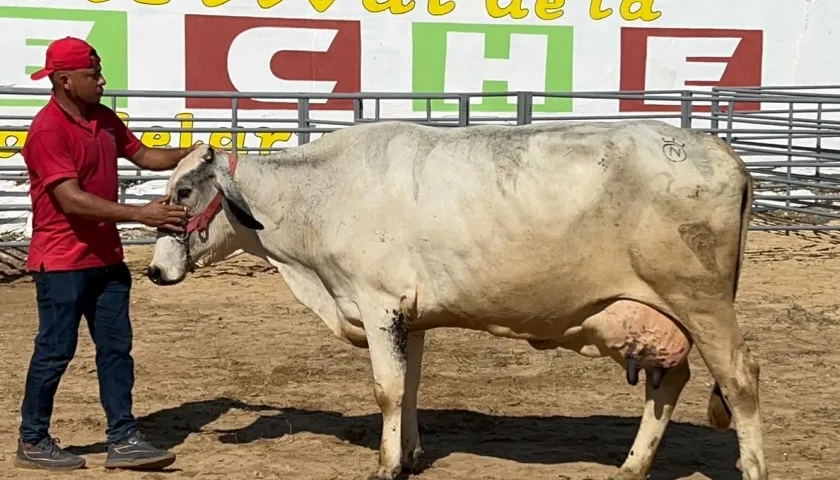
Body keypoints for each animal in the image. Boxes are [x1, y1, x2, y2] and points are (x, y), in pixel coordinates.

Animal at [146, 119, 766, 480]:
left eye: (183, 190)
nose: (154, 269)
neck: (318, 196)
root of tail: (722, 152)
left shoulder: (378, 303)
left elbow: (387, 388)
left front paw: (387, 465)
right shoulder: (410, 316)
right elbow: (411, 387)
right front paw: (411, 454)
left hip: (703, 303)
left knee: (740, 381)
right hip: (664, 314)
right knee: (671, 380)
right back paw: (633, 466)